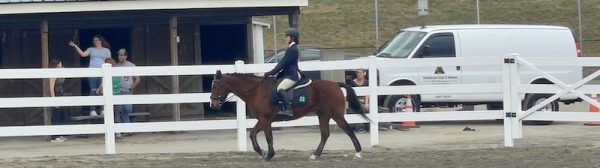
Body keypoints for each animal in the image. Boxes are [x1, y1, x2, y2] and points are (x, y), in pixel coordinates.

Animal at [210, 70, 370, 161]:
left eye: (216, 86)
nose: (213, 104)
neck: (257, 92)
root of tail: (335, 84)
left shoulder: (265, 119)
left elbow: (267, 137)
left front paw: (268, 155)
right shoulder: (263, 120)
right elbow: (253, 134)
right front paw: (261, 152)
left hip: (336, 115)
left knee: (348, 130)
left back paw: (358, 152)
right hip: (323, 115)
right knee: (325, 134)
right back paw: (315, 155)